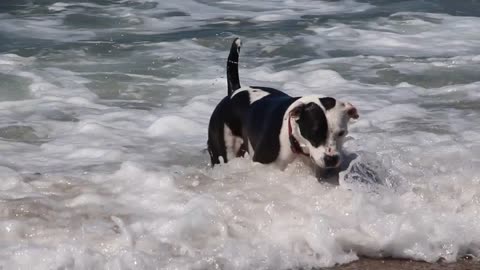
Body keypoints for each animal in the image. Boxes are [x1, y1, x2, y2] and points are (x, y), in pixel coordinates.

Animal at [205, 38, 356, 175]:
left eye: (341, 133)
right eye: (314, 133)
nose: (331, 159)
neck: (295, 142)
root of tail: (234, 91)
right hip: (223, 151)